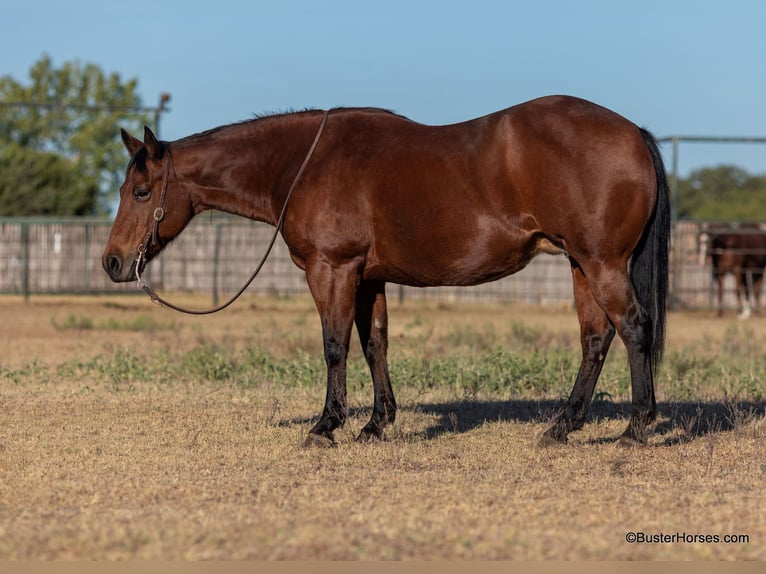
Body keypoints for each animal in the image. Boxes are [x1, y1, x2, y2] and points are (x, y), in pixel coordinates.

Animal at [103, 97, 672, 450]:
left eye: (141, 192)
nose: (112, 261)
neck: (305, 162)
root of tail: (634, 133)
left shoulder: (332, 269)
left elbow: (335, 346)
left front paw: (326, 426)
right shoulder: (368, 277)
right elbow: (375, 344)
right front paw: (376, 424)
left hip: (601, 263)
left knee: (633, 328)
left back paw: (635, 427)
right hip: (581, 264)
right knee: (596, 338)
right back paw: (562, 427)